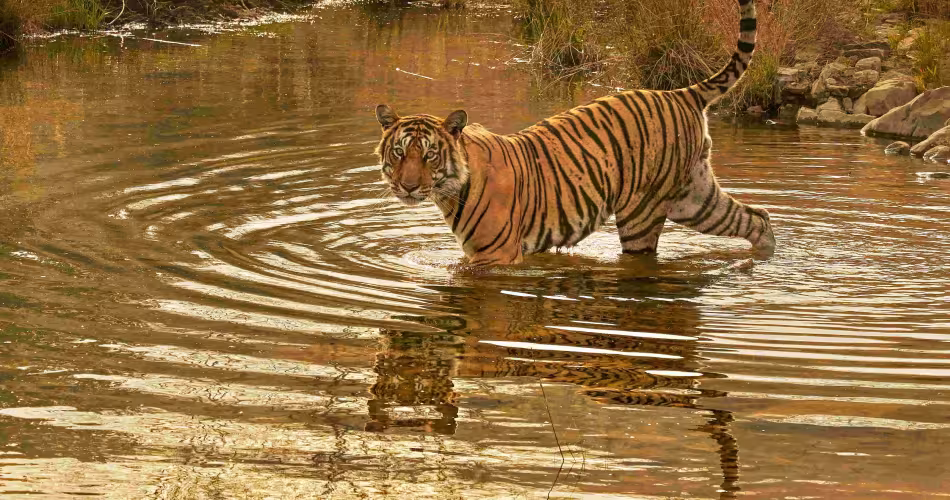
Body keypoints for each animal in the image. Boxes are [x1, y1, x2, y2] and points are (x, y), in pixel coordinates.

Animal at [373, 0, 774, 267]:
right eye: (399, 152)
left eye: (429, 155)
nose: (408, 186)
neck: (449, 191)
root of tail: (680, 92)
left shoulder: (495, 257)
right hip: (695, 199)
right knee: (757, 217)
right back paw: (764, 259)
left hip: (643, 212)